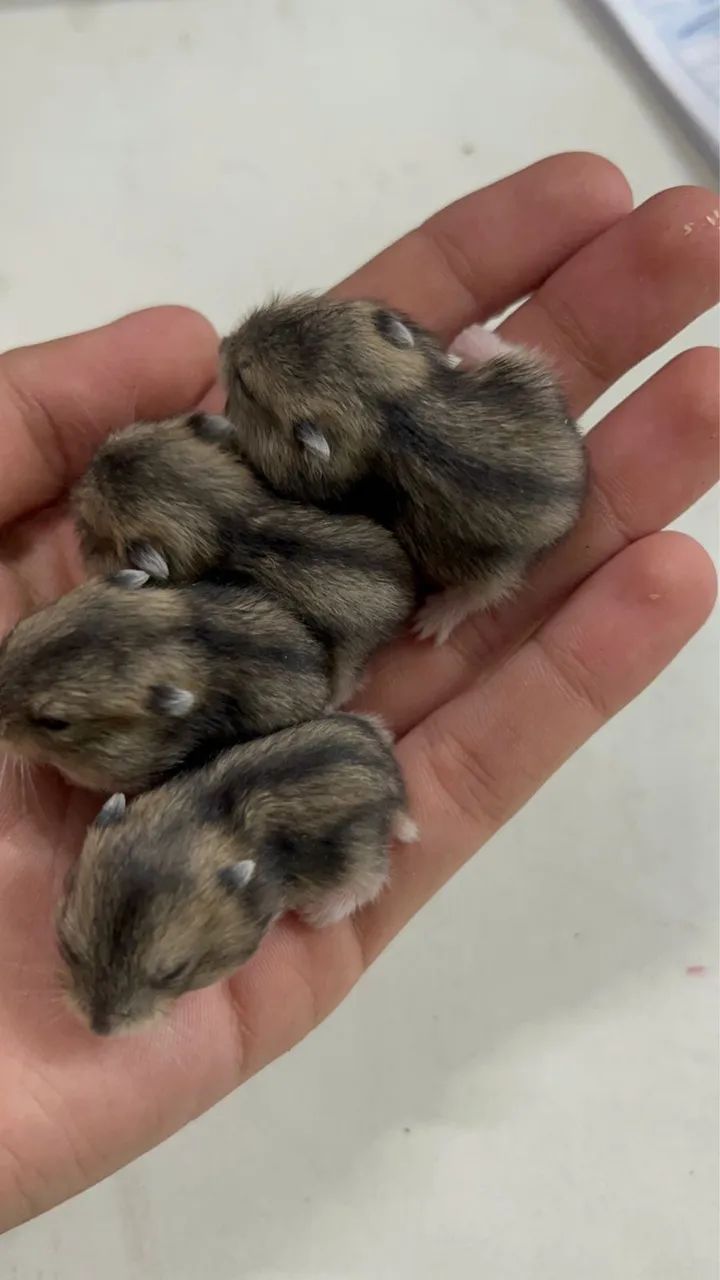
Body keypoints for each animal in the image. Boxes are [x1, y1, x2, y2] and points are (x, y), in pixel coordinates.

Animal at [57, 713, 417, 1035]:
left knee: (370, 881)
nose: (99, 1029)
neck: (191, 819)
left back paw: (319, 914)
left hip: (360, 855)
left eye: (174, 973)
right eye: (69, 948)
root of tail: (394, 780)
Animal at [221, 294, 587, 642]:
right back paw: (471, 338)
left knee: (485, 593)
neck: (379, 401)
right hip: (526, 382)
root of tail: (572, 493)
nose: (224, 341)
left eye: (245, 383)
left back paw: (432, 621)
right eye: (301, 310)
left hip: (485, 566)